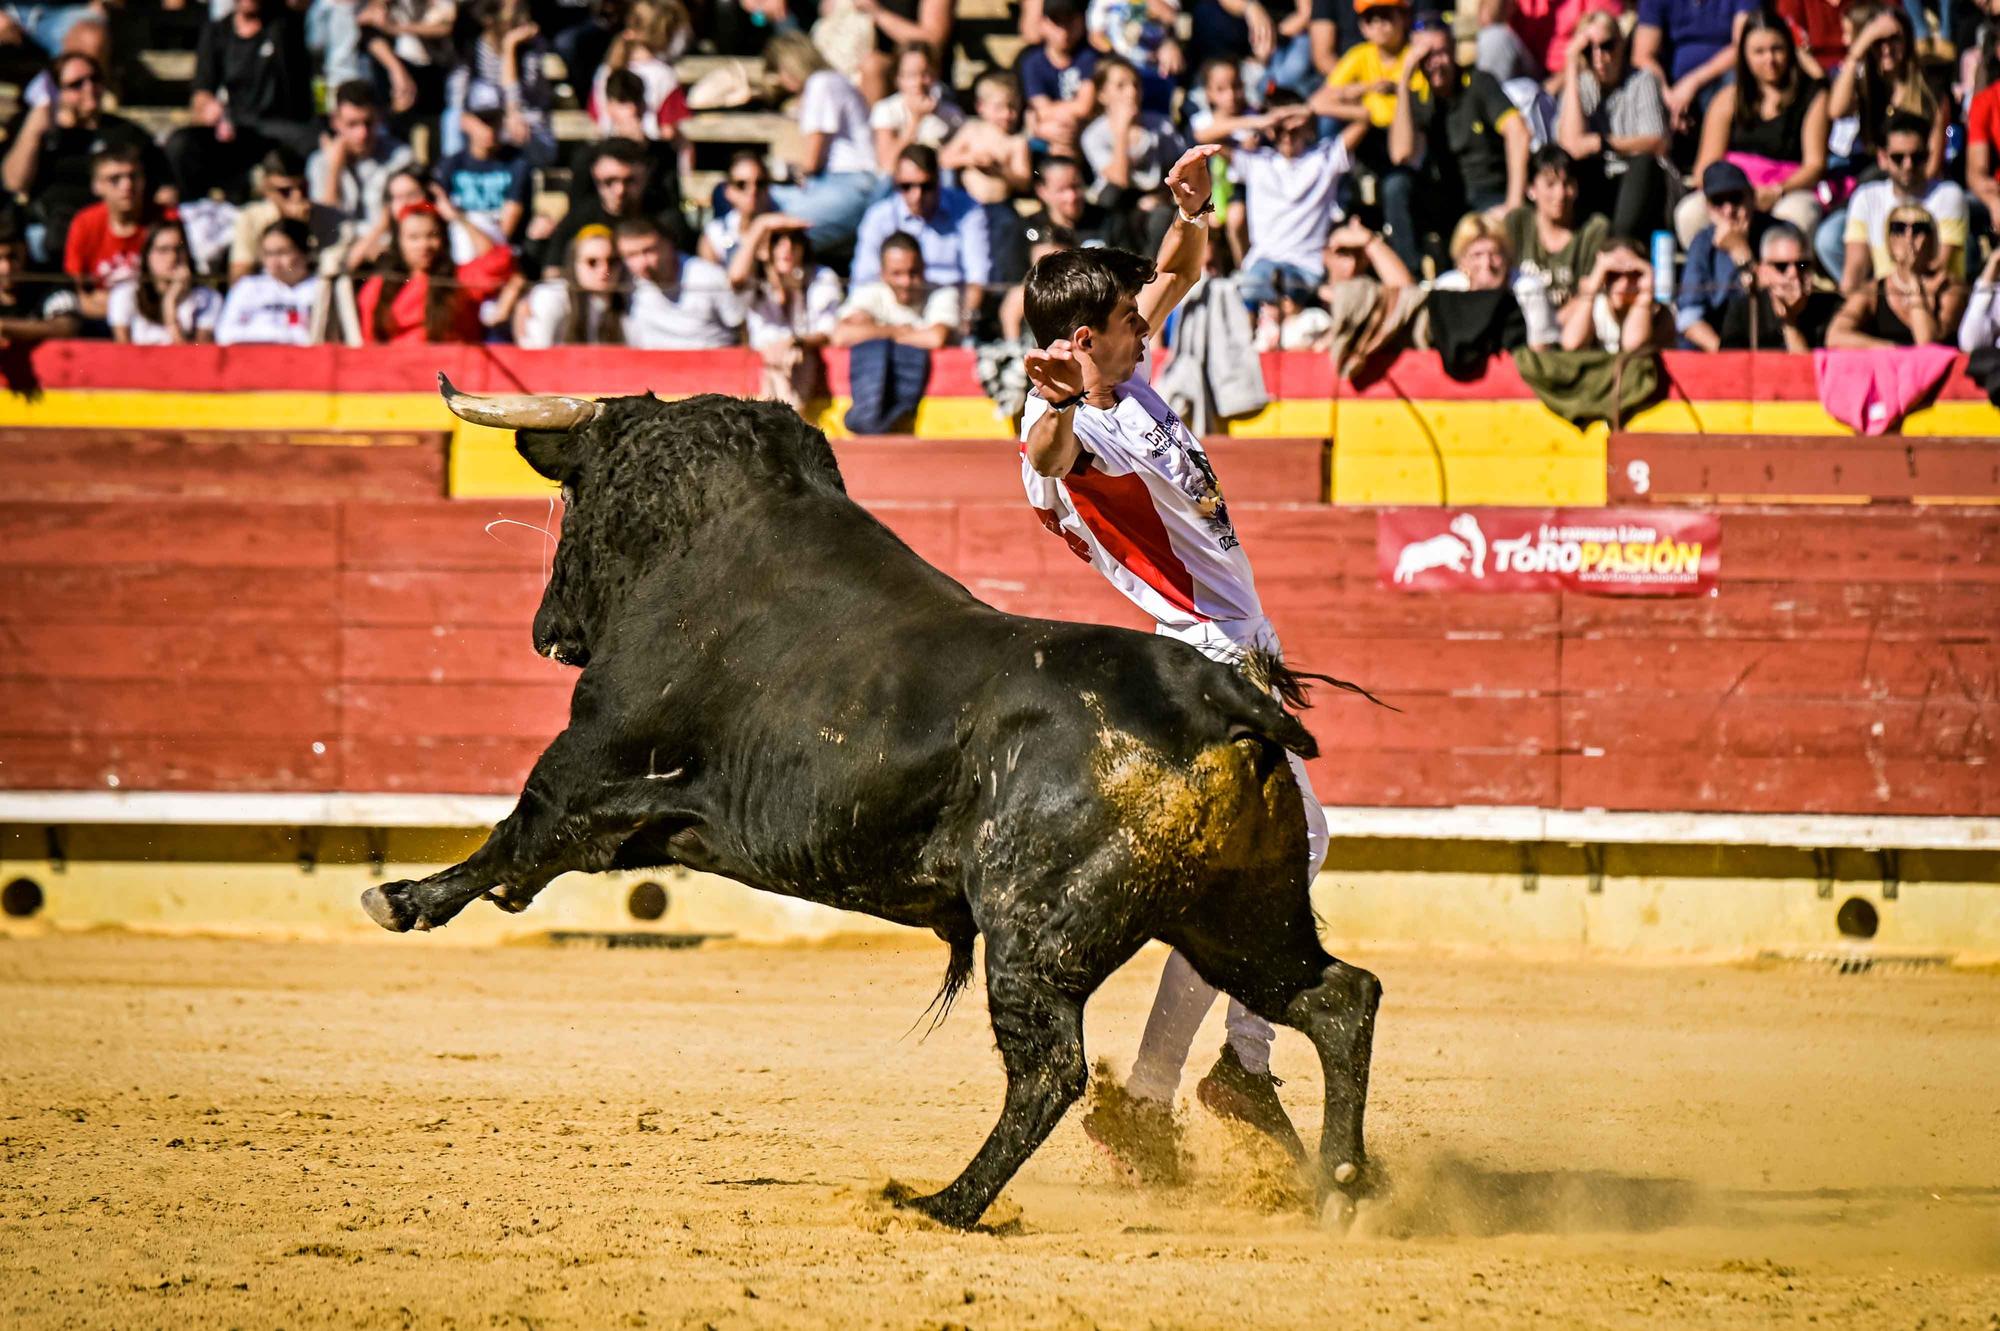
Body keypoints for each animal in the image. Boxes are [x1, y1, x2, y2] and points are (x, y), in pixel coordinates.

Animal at [360, 373, 1376, 1223]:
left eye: (575, 499)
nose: (548, 631)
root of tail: (1223, 698)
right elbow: (540, 849)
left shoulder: (590, 755)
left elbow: (517, 829)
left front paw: (400, 896)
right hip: (1236, 916)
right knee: (1338, 997)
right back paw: (1342, 1184)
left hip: (1035, 933)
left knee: (1051, 1070)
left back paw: (946, 1202)